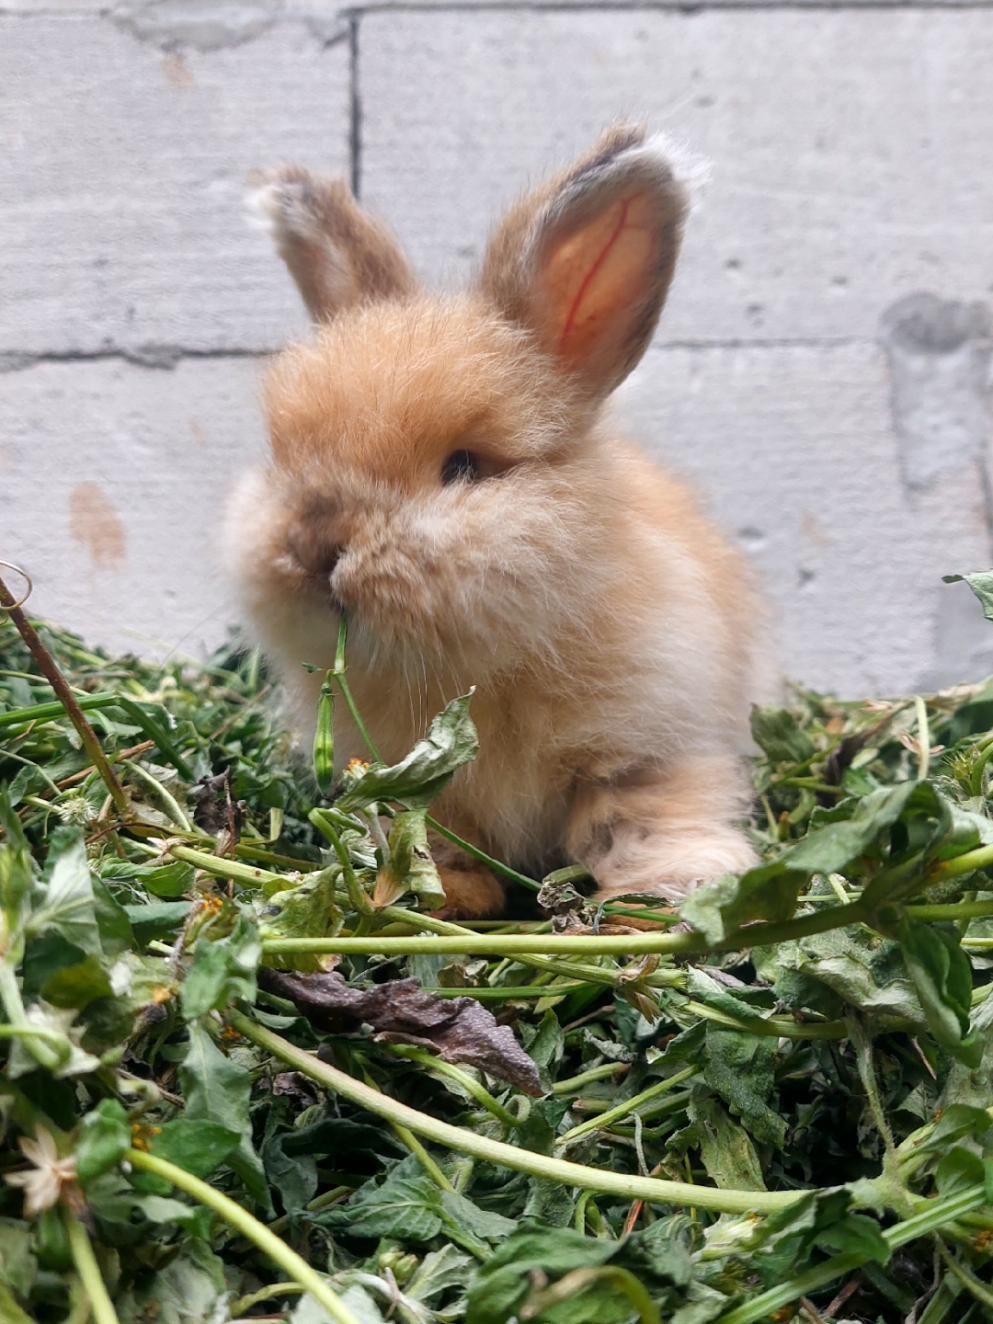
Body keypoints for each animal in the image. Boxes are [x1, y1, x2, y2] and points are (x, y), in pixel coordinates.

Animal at [225, 124, 773, 918]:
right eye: (282, 457)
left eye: (462, 467)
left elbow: (645, 814)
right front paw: (440, 892)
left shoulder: (654, 743)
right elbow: (431, 833)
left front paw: (677, 883)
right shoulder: (417, 782)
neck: (483, 669)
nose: (313, 546)